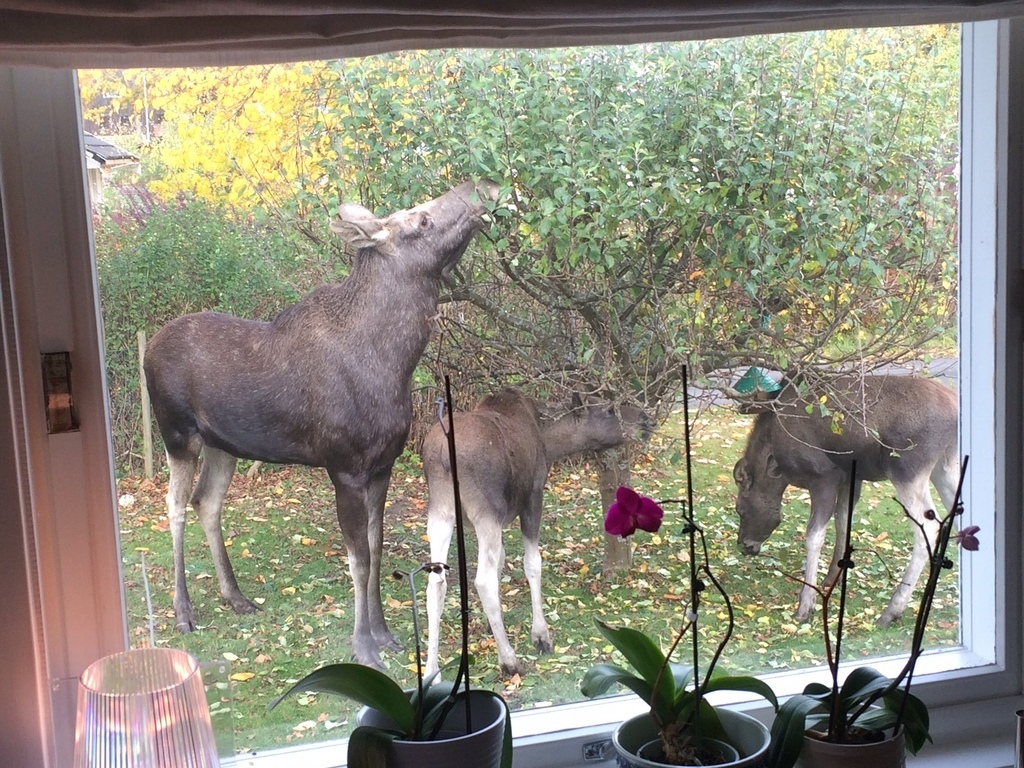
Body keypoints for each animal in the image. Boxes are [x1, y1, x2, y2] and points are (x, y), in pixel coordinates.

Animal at [143, 179, 498, 670]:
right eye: (422, 219)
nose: (483, 185)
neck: (395, 362)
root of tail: (147, 348)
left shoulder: (382, 465)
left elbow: (376, 546)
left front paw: (386, 634)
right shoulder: (343, 466)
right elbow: (358, 559)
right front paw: (364, 646)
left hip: (223, 445)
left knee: (206, 502)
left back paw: (236, 596)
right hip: (178, 434)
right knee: (174, 507)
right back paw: (184, 612)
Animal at [421, 388, 651, 677]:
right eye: (609, 409)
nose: (645, 419)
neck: (549, 441)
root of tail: (442, 454)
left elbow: (502, 561)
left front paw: (489, 625)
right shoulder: (532, 498)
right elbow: (532, 563)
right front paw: (540, 635)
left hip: (440, 511)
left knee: (435, 583)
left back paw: (431, 671)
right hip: (486, 510)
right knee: (482, 581)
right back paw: (509, 660)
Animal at [731, 374, 960, 626]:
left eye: (740, 509)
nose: (745, 545)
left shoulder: (824, 476)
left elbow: (814, 537)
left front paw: (805, 605)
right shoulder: (851, 476)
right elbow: (843, 521)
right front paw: (832, 578)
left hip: (906, 468)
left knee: (928, 526)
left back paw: (891, 611)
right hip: (944, 464)